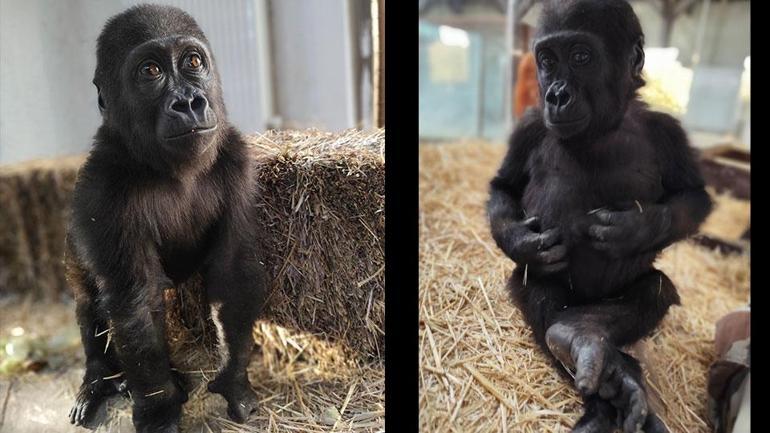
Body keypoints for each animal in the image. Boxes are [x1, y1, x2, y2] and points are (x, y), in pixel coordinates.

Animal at [69, 4, 268, 432]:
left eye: (192, 62)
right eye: (150, 71)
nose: (188, 102)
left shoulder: (237, 158)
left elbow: (232, 271)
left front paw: (235, 380)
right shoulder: (101, 189)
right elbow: (136, 301)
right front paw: (160, 409)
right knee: (88, 301)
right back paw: (99, 380)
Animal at [488, 0, 712, 432]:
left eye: (580, 57)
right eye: (547, 61)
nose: (557, 94)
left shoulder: (667, 131)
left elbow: (693, 197)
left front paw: (634, 229)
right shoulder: (528, 126)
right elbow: (504, 188)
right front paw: (524, 243)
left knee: (654, 288)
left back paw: (587, 336)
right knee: (539, 289)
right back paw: (601, 374)